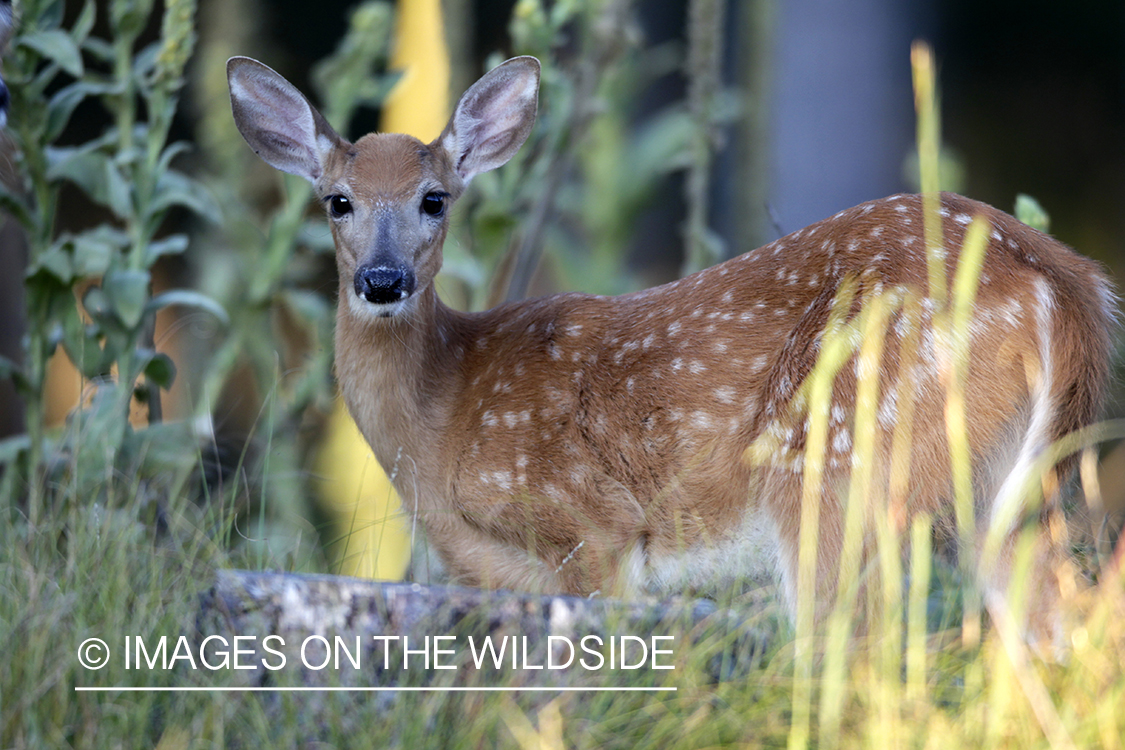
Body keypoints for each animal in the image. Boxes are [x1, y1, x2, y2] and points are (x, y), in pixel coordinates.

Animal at [227, 54, 1116, 649]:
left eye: (434, 199)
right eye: (337, 201)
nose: (382, 280)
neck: (443, 415)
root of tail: (1065, 280)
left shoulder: (592, 527)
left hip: (839, 460)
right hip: (1004, 482)